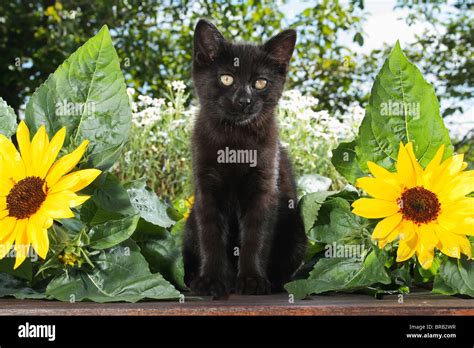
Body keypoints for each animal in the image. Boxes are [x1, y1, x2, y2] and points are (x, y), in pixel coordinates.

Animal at [183, 19, 306, 298]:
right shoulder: (206, 188)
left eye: (261, 83)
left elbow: (255, 236)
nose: (244, 100)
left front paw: (252, 280)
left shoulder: (264, 188)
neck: (235, 141)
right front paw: (211, 279)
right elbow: (210, 235)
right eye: (226, 78)